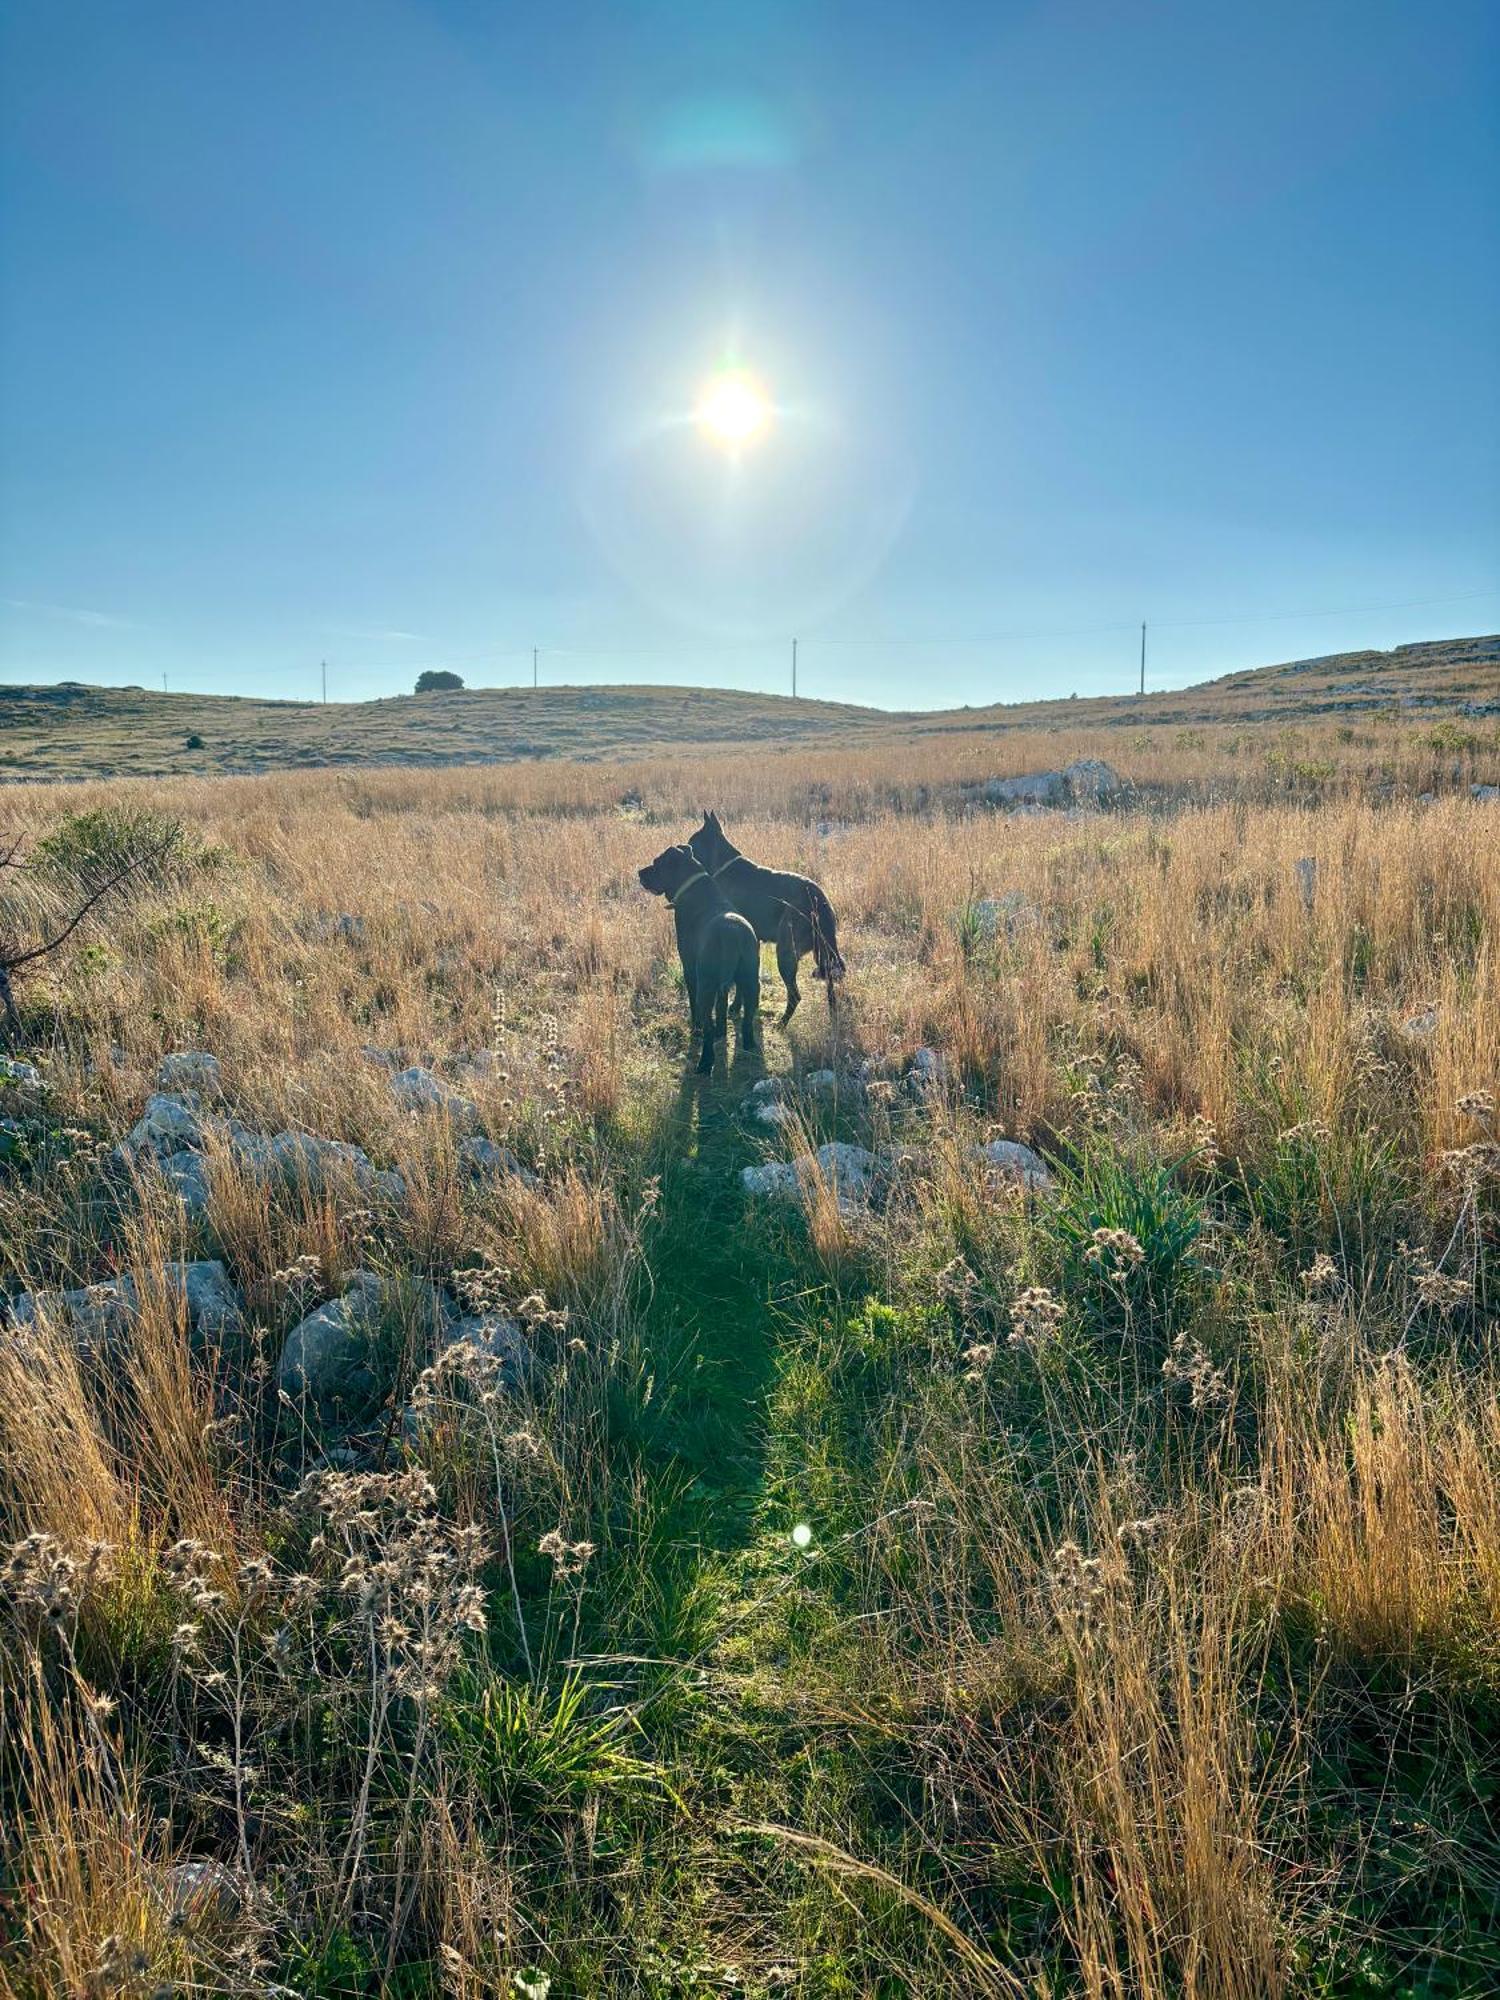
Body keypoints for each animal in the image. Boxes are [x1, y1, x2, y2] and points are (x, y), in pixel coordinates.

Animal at [636, 840, 764, 1072]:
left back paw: (705, 1062)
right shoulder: (722, 984)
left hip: (706, 985)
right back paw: (749, 1046)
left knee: (706, 1022)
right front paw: (722, 1031)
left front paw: (695, 1028)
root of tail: (732, 936)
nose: (639, 872)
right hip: (751, 981)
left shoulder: (689, 969)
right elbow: (721, 1008)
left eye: (657, 863)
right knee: (748, 1018)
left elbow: (695, 1006)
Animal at [692, 812, 848, 1032]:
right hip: (822, 954)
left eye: (692, 843)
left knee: (795, 995)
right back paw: (832, 1019)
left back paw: (782, 1023)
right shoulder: (751, 942)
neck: (724, 863)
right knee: (831, 989)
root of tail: (818, 899)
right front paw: (737, 1007)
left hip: (786, 954)